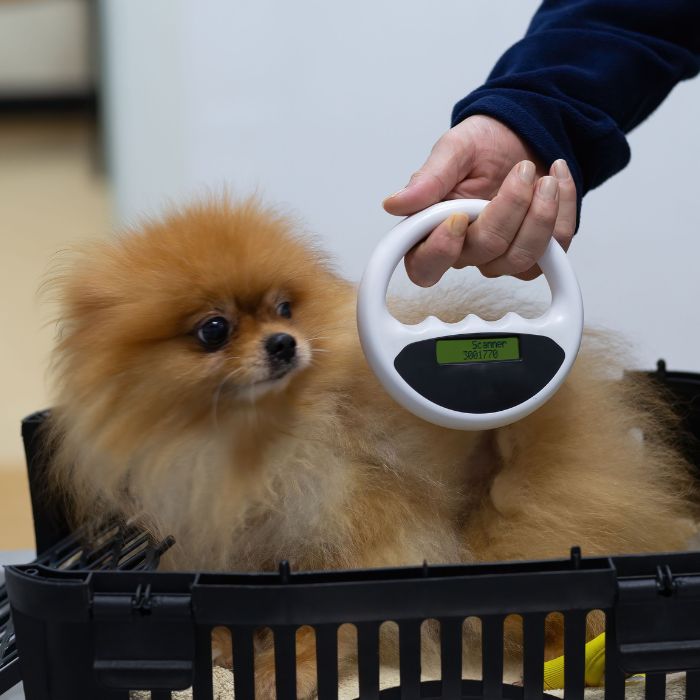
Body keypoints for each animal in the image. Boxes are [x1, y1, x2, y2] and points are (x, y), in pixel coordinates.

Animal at [47, 197, 696, 696]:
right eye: (214, 330)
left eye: (285, 308)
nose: (284, 343)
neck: (254, 441)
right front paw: (231, 648)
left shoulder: (361, 528)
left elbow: (317, 619)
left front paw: (285, 670)